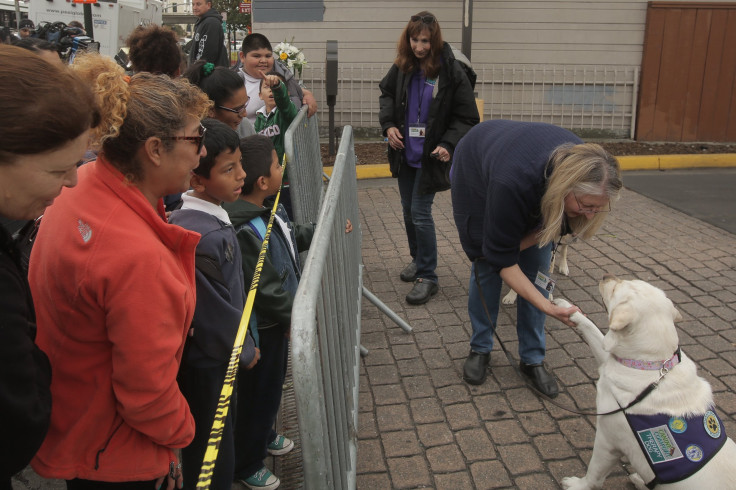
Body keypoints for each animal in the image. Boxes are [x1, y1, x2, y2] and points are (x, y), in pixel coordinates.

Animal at [556, 274, 736, 488]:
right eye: (628, 279)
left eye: (616, 290)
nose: (606, 276)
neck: (653, 365)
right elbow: (591, 327)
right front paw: (567, 307)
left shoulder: (608, 440)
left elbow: (594, 474)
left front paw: (578, 485)